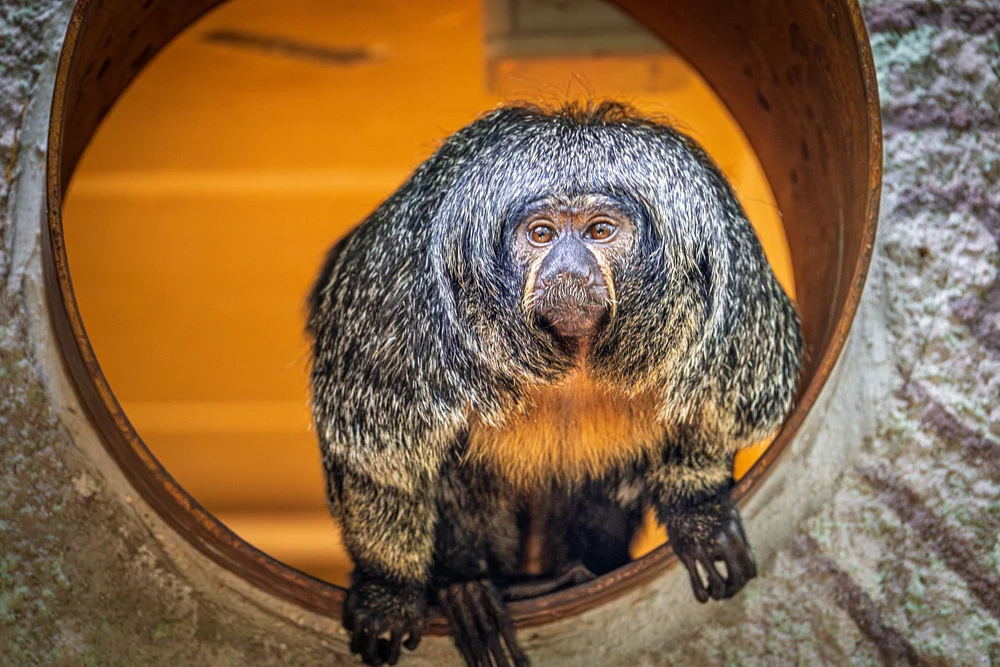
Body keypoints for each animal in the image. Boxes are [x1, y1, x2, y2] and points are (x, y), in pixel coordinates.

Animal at [307, 101, 803, 666]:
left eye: (600, 231)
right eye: (541, 234)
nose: (567, 267)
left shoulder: (725, 289)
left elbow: (720, 405)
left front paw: (696, 510)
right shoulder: (400, 300)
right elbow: (377, 458)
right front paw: (389, 589)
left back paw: (576, 572)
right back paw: (468, 588)